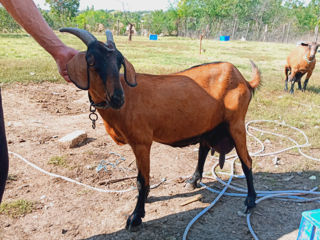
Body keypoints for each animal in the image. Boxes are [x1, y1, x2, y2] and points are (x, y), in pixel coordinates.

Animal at [61, 27, 262, 231]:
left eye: (119, 63)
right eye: (91, 61)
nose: (118, 98)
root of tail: (244, 80)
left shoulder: (141, 142)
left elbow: (142, 180)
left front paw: (136, 216)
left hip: (236, 123)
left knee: (247, 161)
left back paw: (250, 201)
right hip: (209, 124)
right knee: (204, 150)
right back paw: (193, 181)